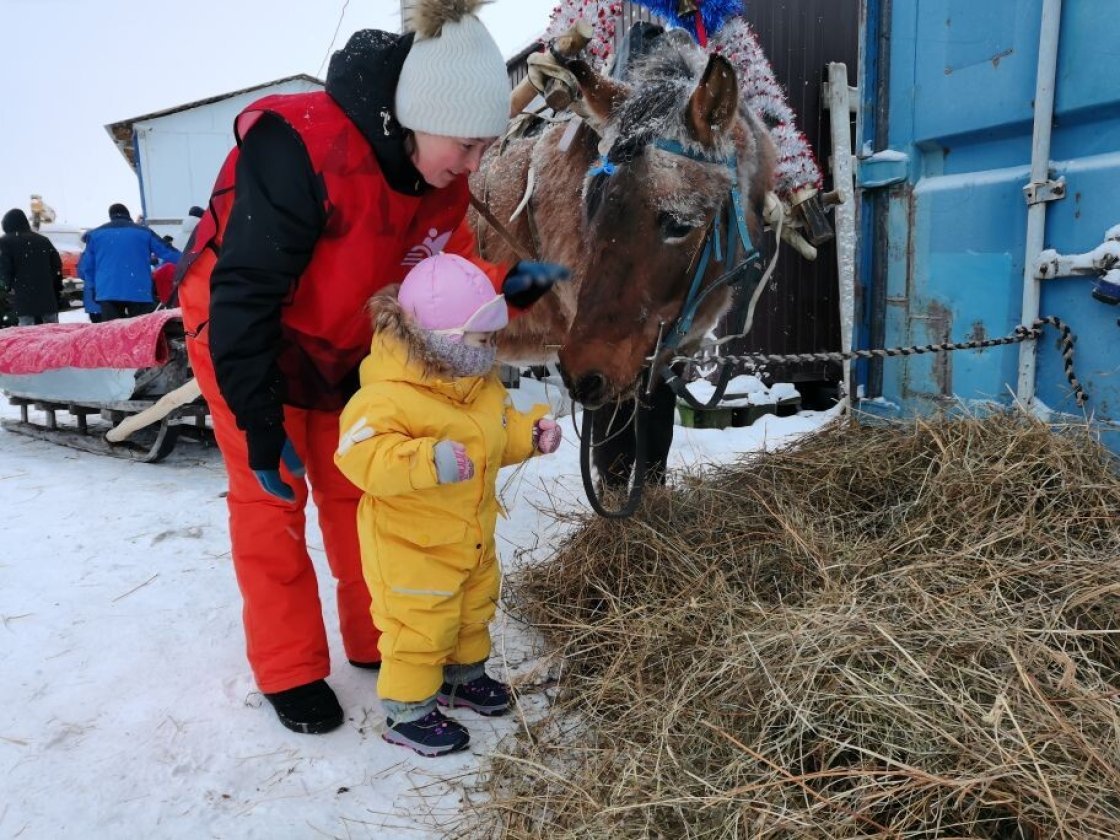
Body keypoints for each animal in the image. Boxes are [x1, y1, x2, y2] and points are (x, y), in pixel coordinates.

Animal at [470, 31, 770, 486]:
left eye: (679, 224)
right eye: (591, 207)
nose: (581, 370)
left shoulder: (659, 358)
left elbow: (655, 449)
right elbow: (615, 462)